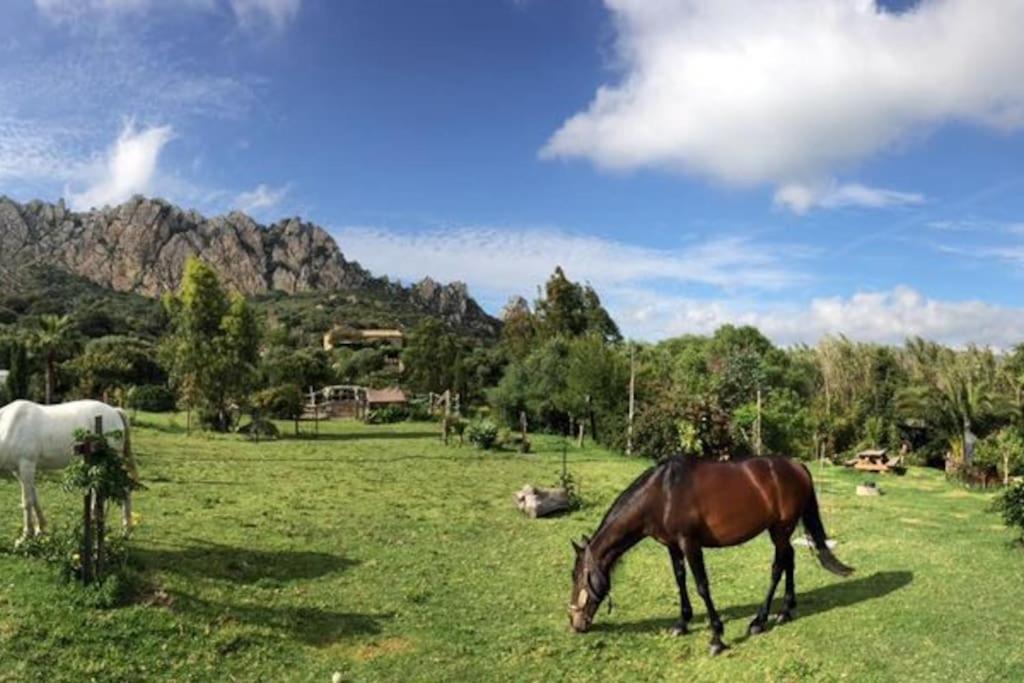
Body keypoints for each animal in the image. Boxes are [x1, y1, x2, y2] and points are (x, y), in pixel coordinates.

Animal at [0, 400, 140, 540]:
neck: (10, 426)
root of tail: (114, 411)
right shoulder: (19, 471)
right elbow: (34, 499)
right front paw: (40, 528)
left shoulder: (27, 465)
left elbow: (27, 501)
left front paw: (26, 535)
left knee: (124, 490)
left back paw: (126, 530)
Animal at [568, 455, 853, 655]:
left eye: (577, 576)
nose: (575, 622)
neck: (662, 494)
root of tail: (797, 466)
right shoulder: (673, 546)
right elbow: (680, 580)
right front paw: (682, 624)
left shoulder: (690, 544)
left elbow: (702, 586)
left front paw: (716, 638)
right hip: (780, 531)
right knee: (789, 560)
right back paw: (785, 611)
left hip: (781, 529)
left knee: (777, 567)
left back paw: (759, 621)